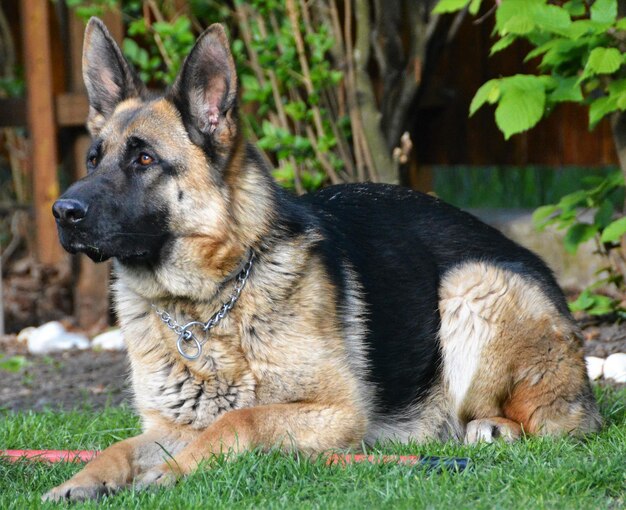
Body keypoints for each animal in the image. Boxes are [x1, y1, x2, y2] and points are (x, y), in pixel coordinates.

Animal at [45, 16, 600, 502]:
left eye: (144, 160)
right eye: (93, 159)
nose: (62, 212)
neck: (208, 308)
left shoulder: (336, 411)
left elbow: (239, 418)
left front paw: (173, 471)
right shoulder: (170, 424)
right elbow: (118, 447)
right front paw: (81, 480)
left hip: (471, 283)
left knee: (544, 422)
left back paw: (493, 427)